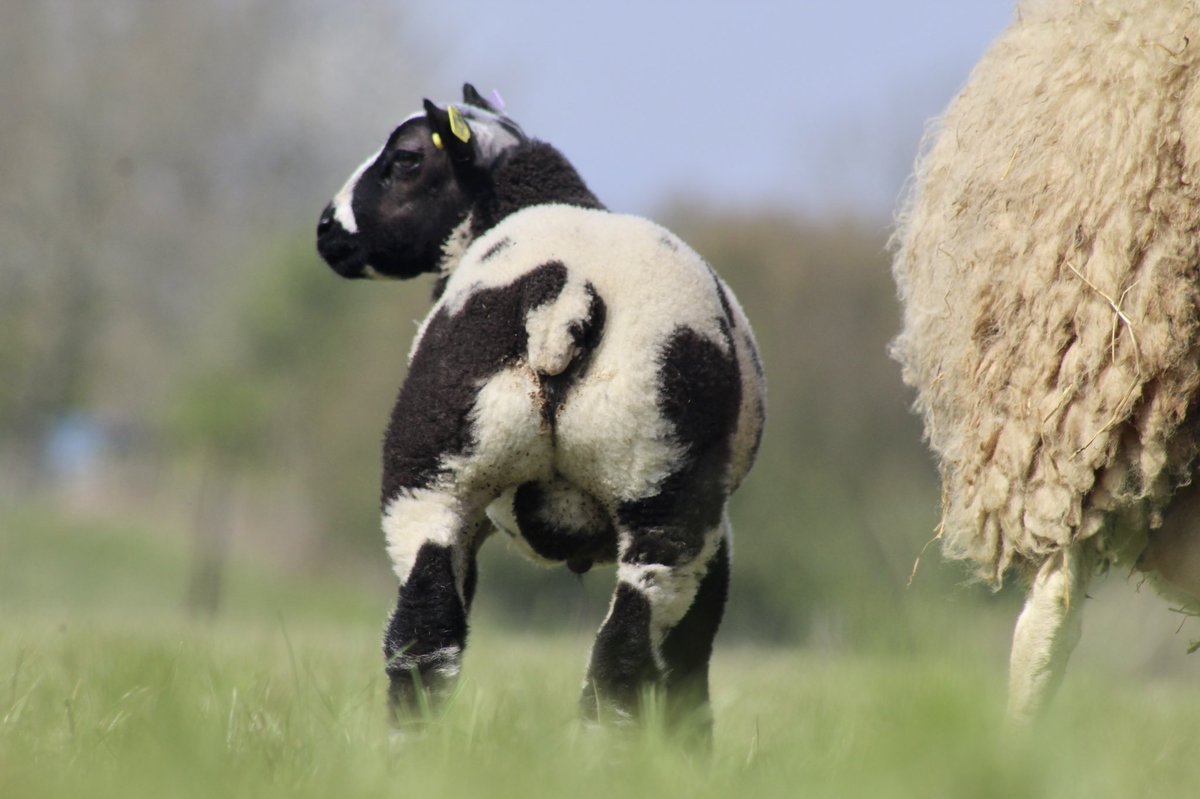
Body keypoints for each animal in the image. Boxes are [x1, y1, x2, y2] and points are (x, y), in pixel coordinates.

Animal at [315, 84, 765, 738]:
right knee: (617, 653)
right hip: (663, 502)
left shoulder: (719, 534)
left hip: (435, 478)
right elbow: (687, 665)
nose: (327, 231)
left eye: (405, 159)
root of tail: (564, 297)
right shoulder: (714, 531)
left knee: (427, 637)